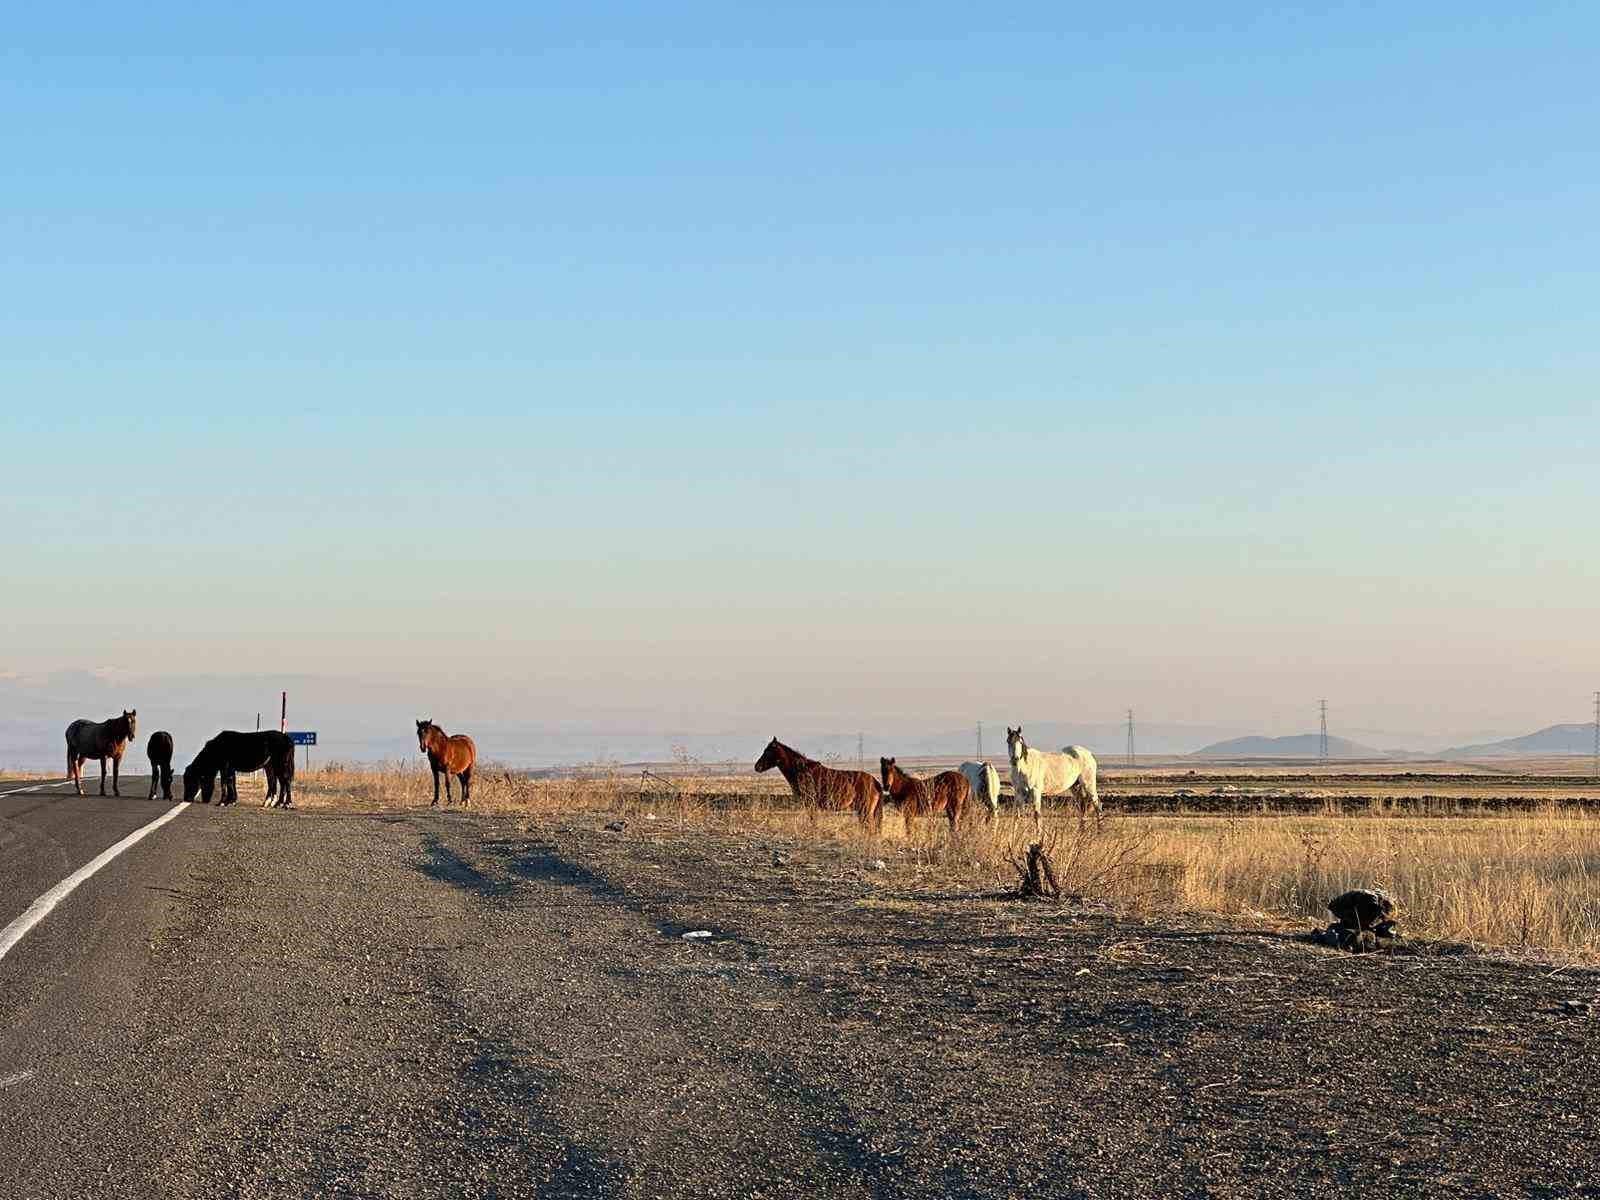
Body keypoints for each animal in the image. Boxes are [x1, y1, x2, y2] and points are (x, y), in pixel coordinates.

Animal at [752, 732, 883, 838]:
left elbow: (812, 819)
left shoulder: (811, 803)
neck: (801, 770)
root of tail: (875, 781)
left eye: (768, 752)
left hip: (865, 811)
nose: (757, 767)